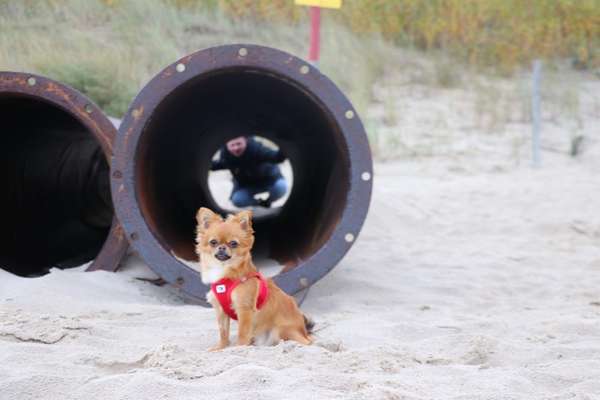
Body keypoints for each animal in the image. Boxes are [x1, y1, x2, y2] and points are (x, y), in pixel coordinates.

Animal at [196, 206, 314, 350]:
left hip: (280, 330)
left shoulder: (244, 309)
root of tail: (303, 331)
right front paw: (220, 348)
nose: (222, 247)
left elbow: (242, 333)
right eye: (213, 242)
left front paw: (239, 348)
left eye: (233, 243)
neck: (226, 271)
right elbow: (223, 332)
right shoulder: (221, 311)